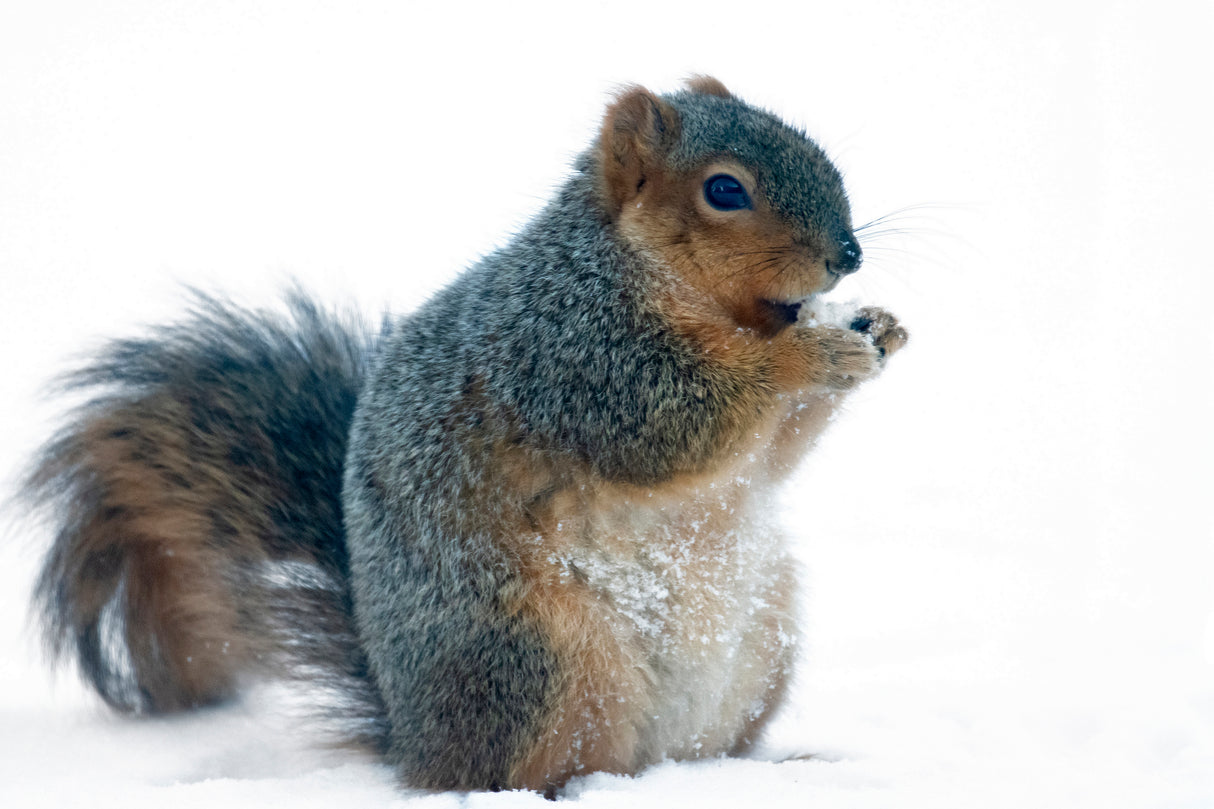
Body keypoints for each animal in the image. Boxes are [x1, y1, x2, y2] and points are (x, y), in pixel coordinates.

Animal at [23, 76, 906, 795]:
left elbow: (772, 457)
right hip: (530, 659)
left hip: (761, 649)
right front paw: (813, 351)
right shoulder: (573, 358)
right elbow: (677, 426)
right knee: (519, 770)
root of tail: (412, 737)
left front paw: (878, 328)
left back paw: (782, 766)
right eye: (724, 189)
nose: (849, 255)